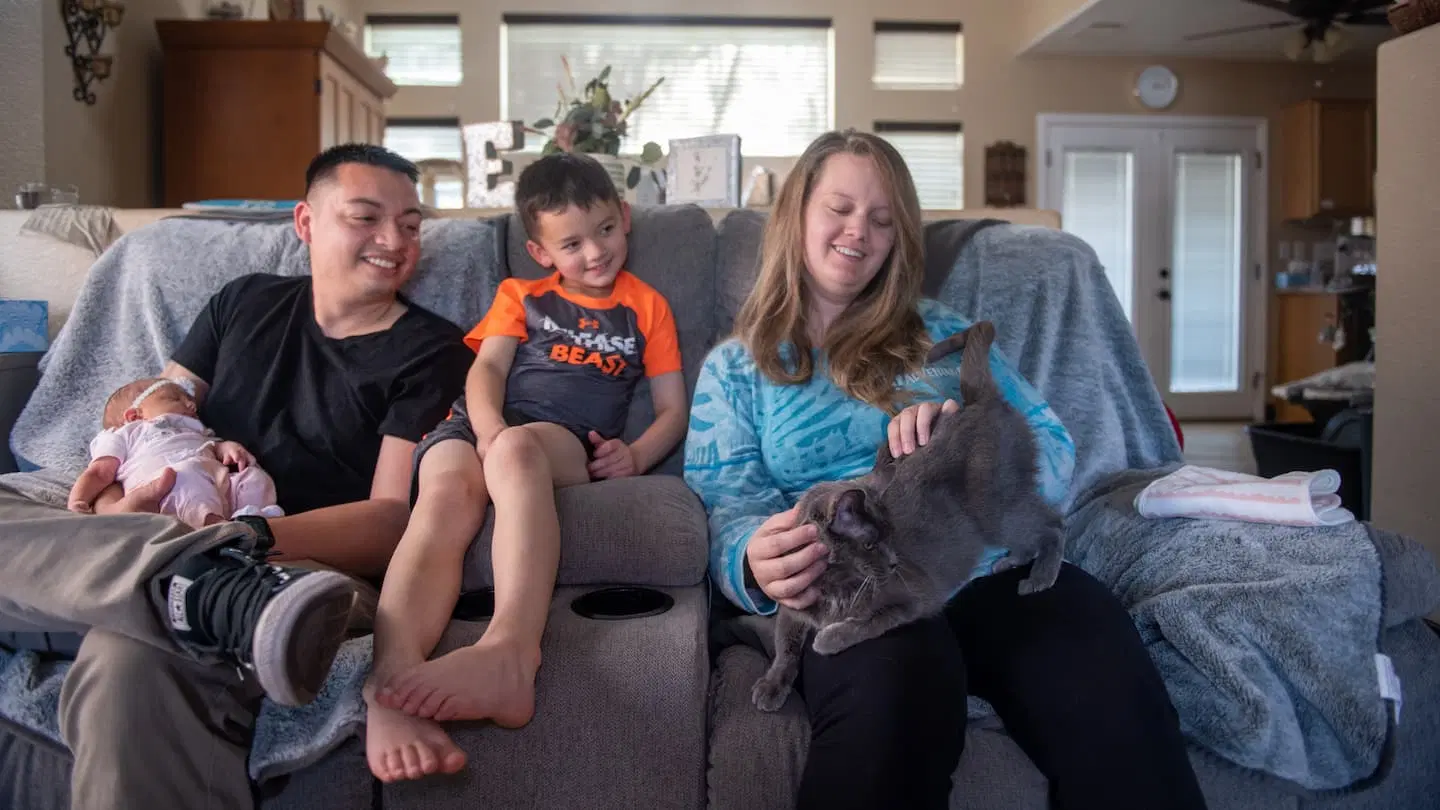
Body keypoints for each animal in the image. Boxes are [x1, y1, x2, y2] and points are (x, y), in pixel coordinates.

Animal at [748, 318, 1065, 709]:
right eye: (871, 543)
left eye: (891, 536)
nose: (894, 562)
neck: (834, 584)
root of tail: (979, 401)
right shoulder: (792, 606)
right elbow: (785, 647)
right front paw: (772, 684)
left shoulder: (913, 599)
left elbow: (867, 623)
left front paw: (827, 639)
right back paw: (1010, 562)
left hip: (995, 508)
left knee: (1053, 524)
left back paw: (1039, 577)